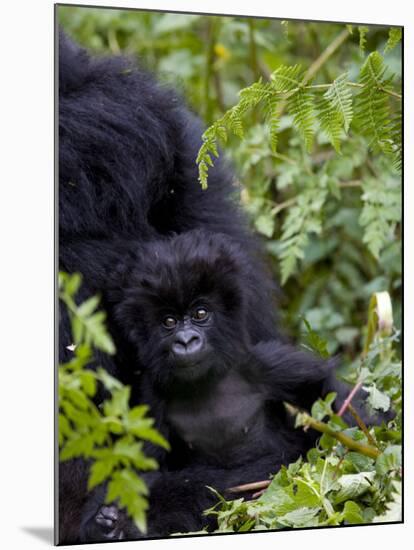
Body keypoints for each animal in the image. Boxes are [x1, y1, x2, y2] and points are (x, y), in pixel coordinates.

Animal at [84, 230, 366, 544]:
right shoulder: (150, 400)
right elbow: (142, 471)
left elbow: (324, 391)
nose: (186, 341)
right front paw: (113, 521)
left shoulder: (263, 364)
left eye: (200, 314)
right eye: (169, 321)